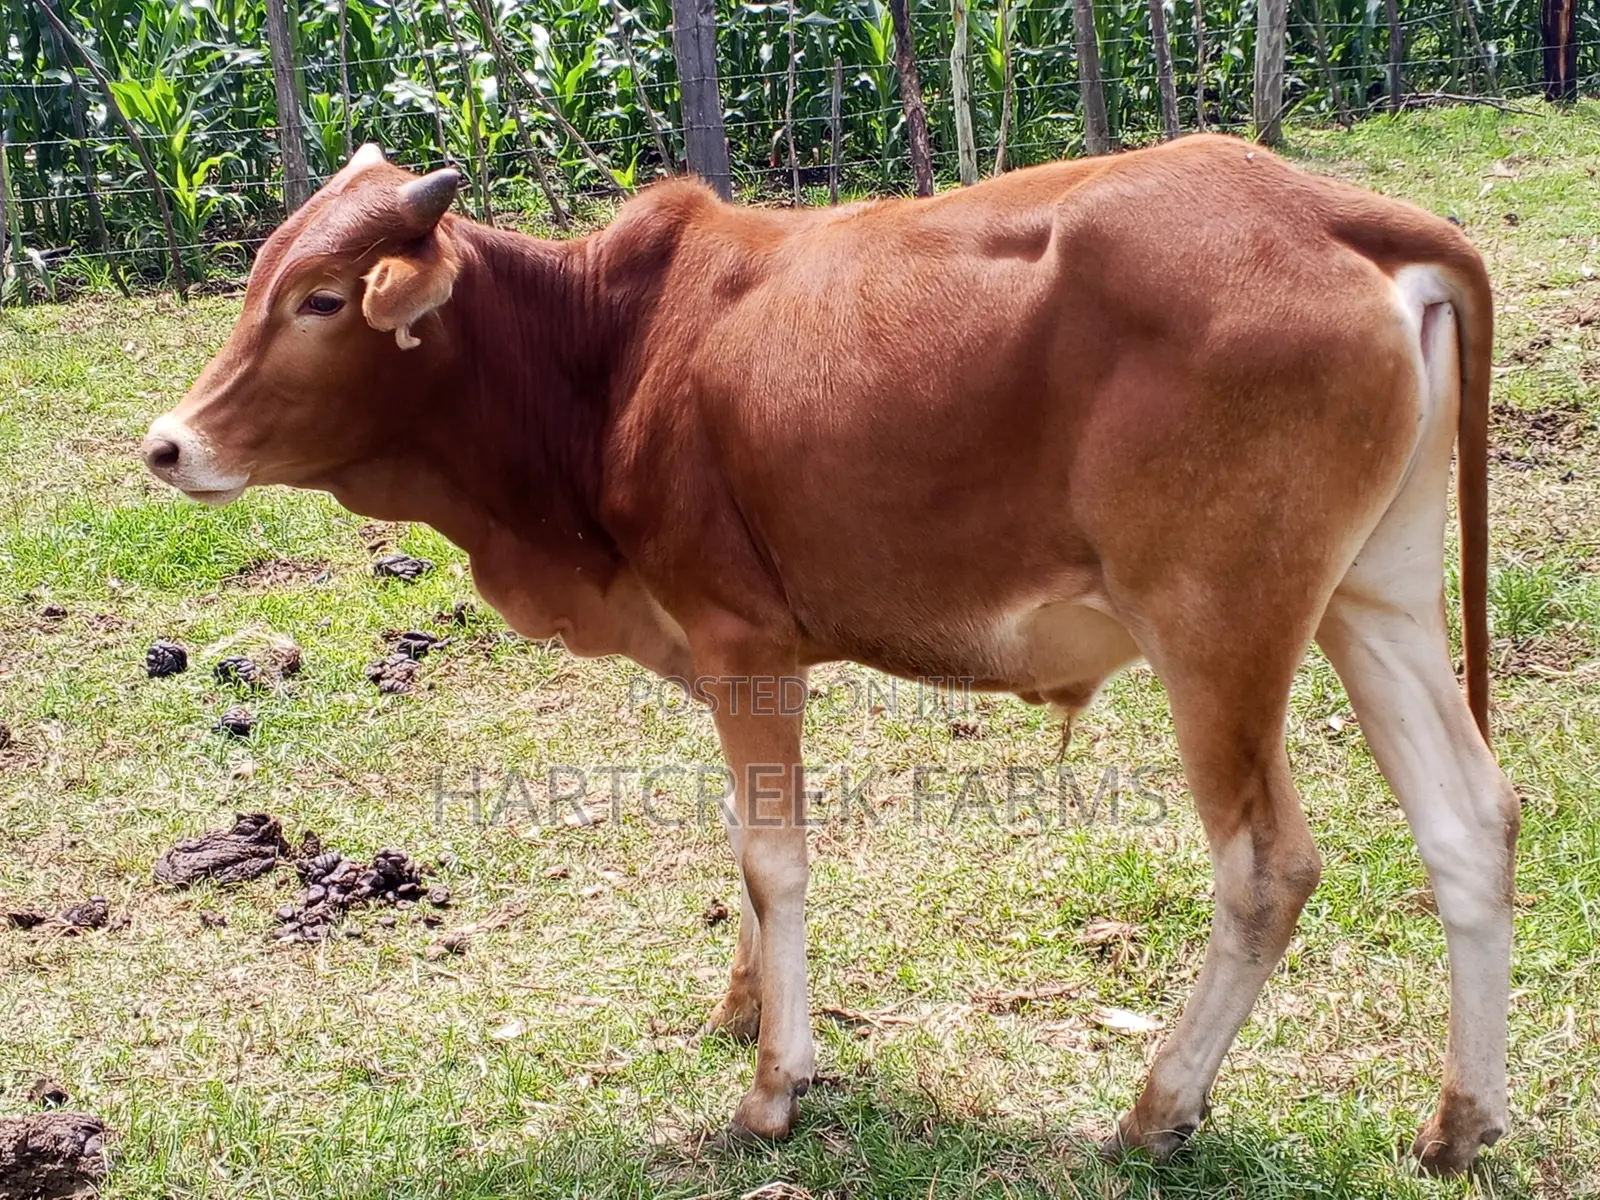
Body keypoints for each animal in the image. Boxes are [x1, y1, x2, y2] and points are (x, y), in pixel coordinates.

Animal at [142, 137, 1518, 1174]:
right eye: (264, 273)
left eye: (325, 299)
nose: (167, 446)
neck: (606, 355)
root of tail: (1336, 211)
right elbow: (743, 846)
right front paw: (740, 1008)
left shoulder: (746, 643)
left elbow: (773, 861)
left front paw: (773, 1085)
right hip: (1372, 599)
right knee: (1471, 819)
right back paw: (1458, 1123)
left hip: (1217, 627)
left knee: (1266, 868)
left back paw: (1158, 1108)